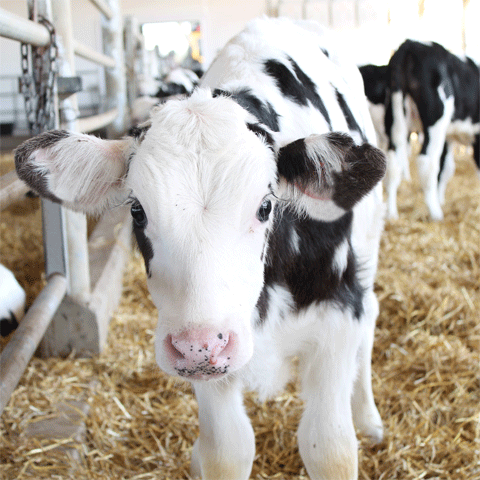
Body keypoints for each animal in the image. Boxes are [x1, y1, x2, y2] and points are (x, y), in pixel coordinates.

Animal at [15, 17, 386, 480]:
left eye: (265, 206)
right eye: (136, 209)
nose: (200, 346)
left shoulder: (338, 313)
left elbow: (330, 447)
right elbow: (226, 451)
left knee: (371, 314)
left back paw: (368, 417)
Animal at [382, 39, 480, 219]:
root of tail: (410, 44)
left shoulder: (449, 137)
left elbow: (445, 169)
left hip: (395, 116)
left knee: (392, 162)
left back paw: (392, 213)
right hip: (436, 119)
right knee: (426, 160)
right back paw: (435, 212)